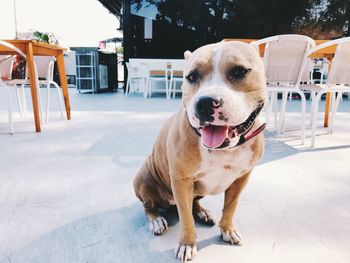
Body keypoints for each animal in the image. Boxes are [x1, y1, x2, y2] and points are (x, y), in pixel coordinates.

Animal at [133, 41, 266, 262]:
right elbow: (186, 217)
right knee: (148, 206)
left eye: (240, 71)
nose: (205, 102)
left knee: (193, 203)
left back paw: (203, 212)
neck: (223, 150)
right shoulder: (181, 180)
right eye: (191, 76)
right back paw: (156, 220)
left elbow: (231, 206)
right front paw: (187, 244)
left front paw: (227, 229)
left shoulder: (242, 178)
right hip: (143, 177)